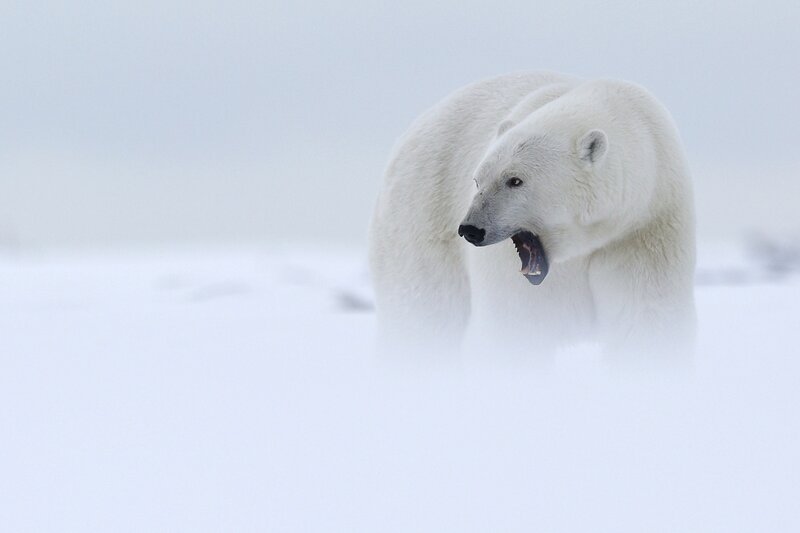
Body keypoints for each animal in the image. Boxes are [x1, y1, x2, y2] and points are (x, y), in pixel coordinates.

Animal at [369, 71, 696, 358]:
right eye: (477, 180)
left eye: (515, 180)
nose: (471, 229)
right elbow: (517, 325)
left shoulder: (645, 229)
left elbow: (644, 317)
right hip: (419, 219)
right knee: (423, 312)